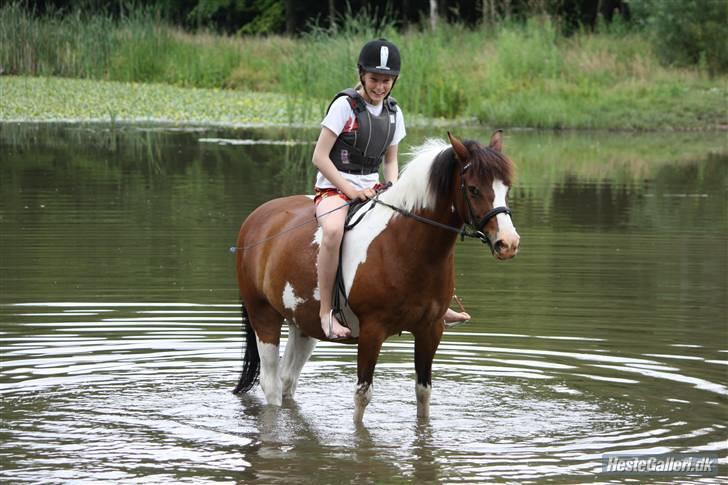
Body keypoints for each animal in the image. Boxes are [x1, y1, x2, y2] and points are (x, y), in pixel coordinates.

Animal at [233, 130, 516, 422]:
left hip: (302, 324)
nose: (508, 243)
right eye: (473, 189)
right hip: (263, 315)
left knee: (288, 379)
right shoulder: (372, 331)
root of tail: (258, 217)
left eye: (506, 187)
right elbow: (362, 396)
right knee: (271, 383)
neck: (404, 247)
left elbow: (423, 393)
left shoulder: (430, 329)